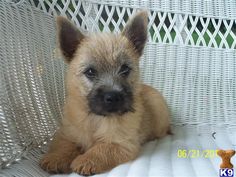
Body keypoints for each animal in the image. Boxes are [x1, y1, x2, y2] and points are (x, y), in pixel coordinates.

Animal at [39, 11, 171, 176]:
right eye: (90, 72)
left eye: (125, 69)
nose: (113, 97)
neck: (96, 118)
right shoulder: (67, 132)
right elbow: (64, 144)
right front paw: (55, 157)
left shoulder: (121, 144)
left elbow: (101, 149)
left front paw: (86, 160)